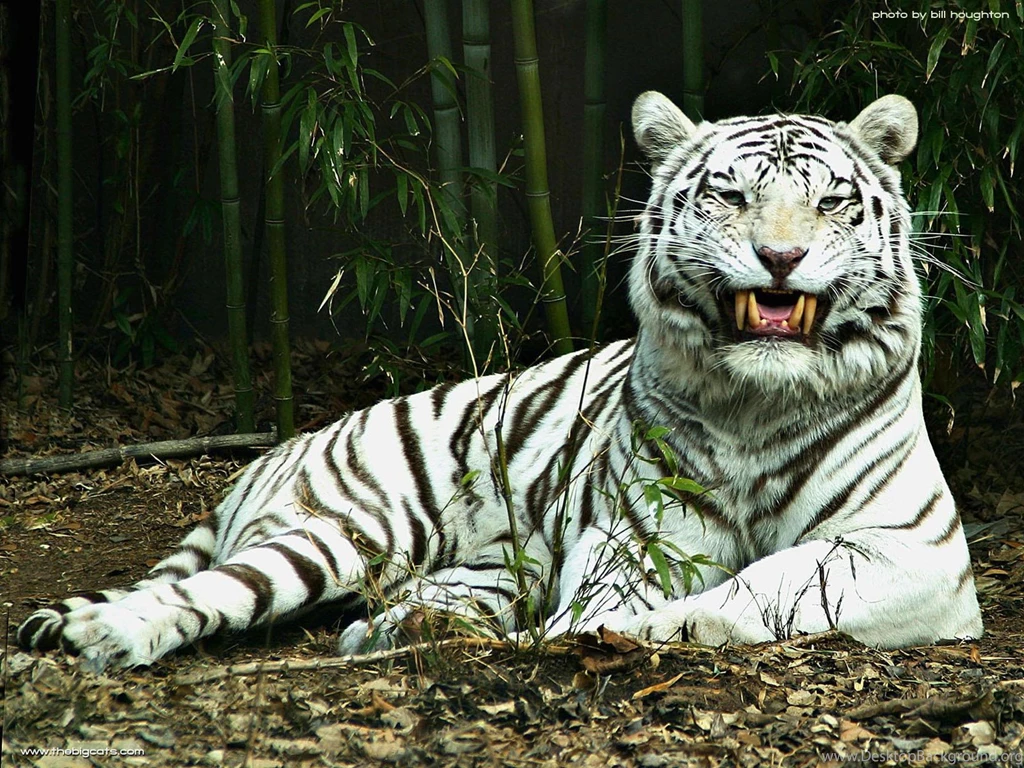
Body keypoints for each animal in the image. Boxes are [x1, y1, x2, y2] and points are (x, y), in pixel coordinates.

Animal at [17, 92, 983, 672]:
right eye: (729, 196)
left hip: (471, 567)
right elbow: (648, 596)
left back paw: (403, 630)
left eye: (830, 202)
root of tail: (278, 448)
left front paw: (608, 633)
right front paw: (588, 632)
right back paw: (110, 633)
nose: (779, 257)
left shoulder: (909, 549)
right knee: (217, 588)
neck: (756, 398)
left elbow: (759, 592)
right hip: (342, 531)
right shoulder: (635, 538)